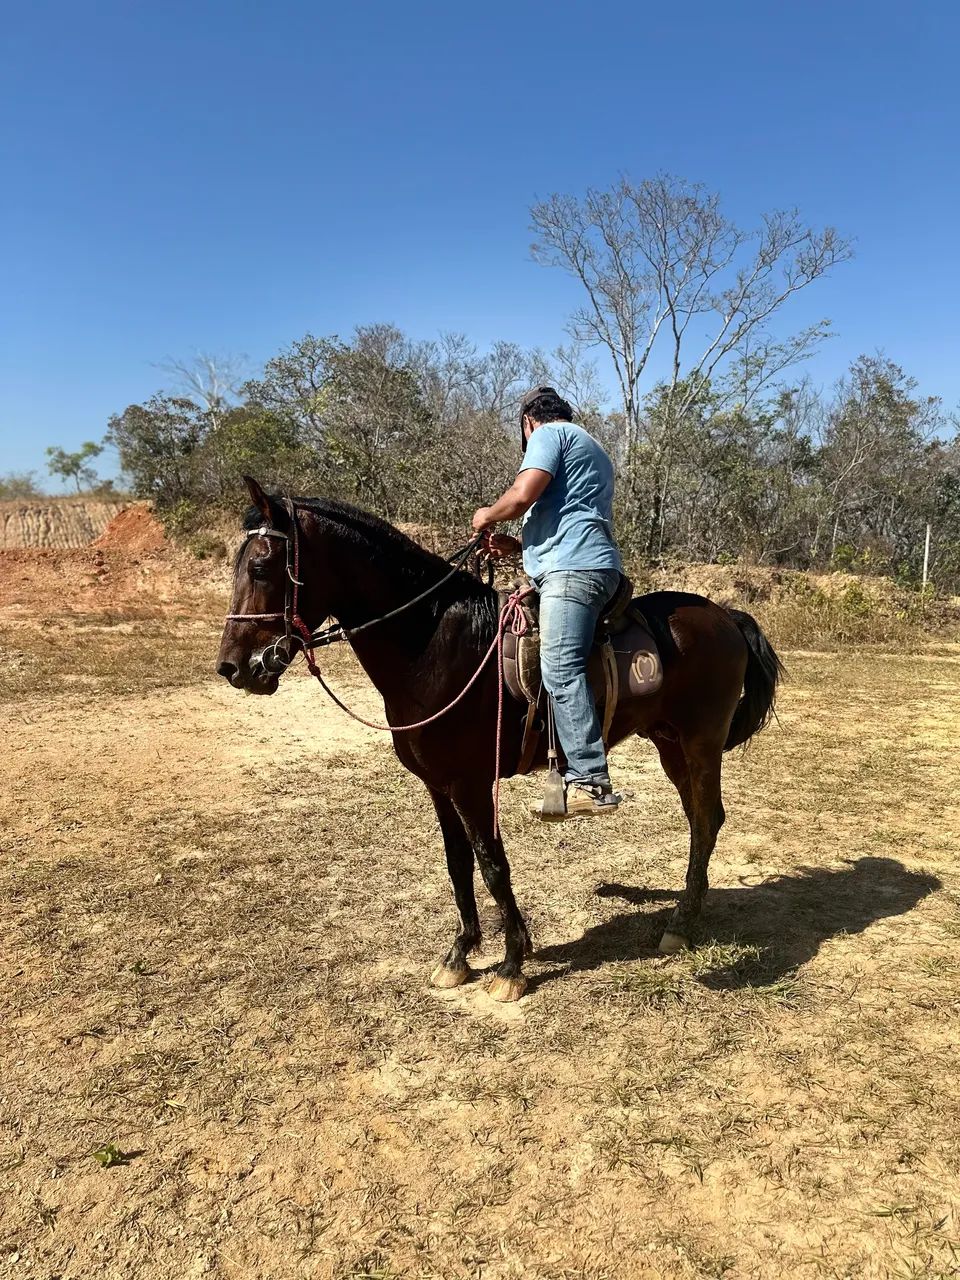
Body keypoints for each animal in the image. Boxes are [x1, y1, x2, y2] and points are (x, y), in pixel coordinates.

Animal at [216, 477, 784, 1002]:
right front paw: (460, 953)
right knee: (700, 820)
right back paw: (690, 908)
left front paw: (511, 964)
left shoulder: (471, 784)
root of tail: (724, 616)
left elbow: (492, 864)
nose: (233, 668)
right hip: (670, 744)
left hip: (700, 743)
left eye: (261, 567)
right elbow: (458, 864)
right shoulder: (439, 785)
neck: (433, 644)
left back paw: (681, 925)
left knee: (706, 819)